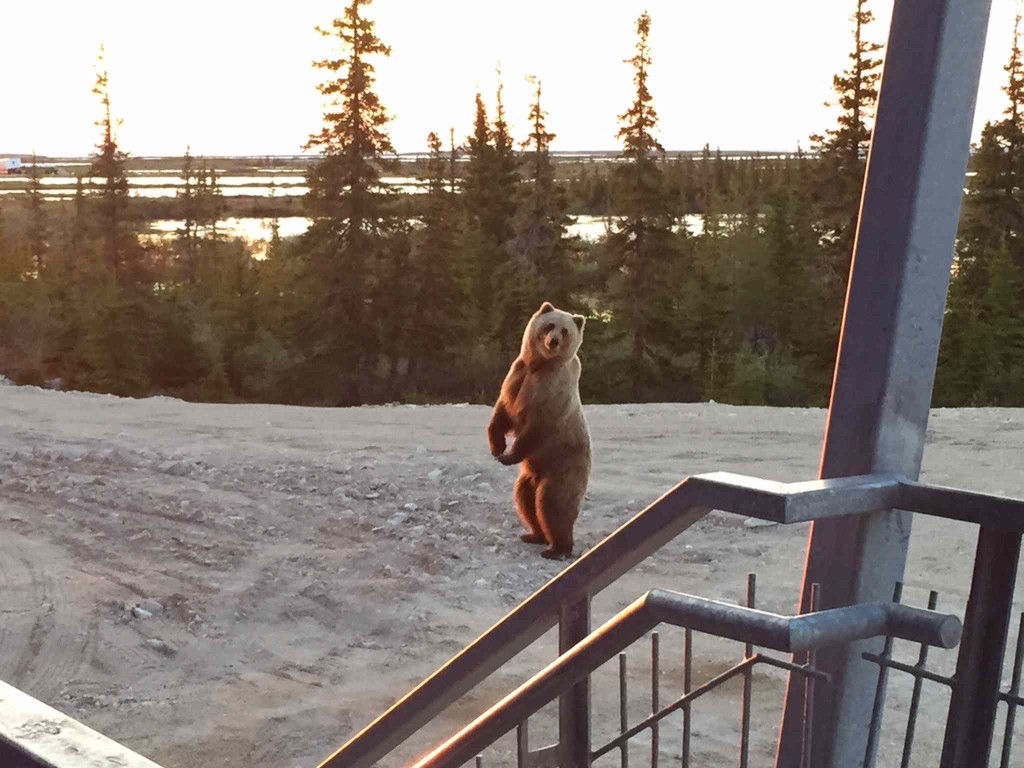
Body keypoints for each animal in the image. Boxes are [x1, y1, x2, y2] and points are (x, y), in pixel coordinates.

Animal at [487, 301, 592, 559]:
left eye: (565, 331)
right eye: (550, 325)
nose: (553, 341)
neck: (540, 365)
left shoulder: (550, 393)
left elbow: (536, 427)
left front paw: (508, 455)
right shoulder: (517, 375)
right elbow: (503, 411)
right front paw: (497, 447)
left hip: (564, 469)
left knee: (553, 505)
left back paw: (557, 548)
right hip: (528, 478)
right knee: (525, 501)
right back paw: (534, 535)